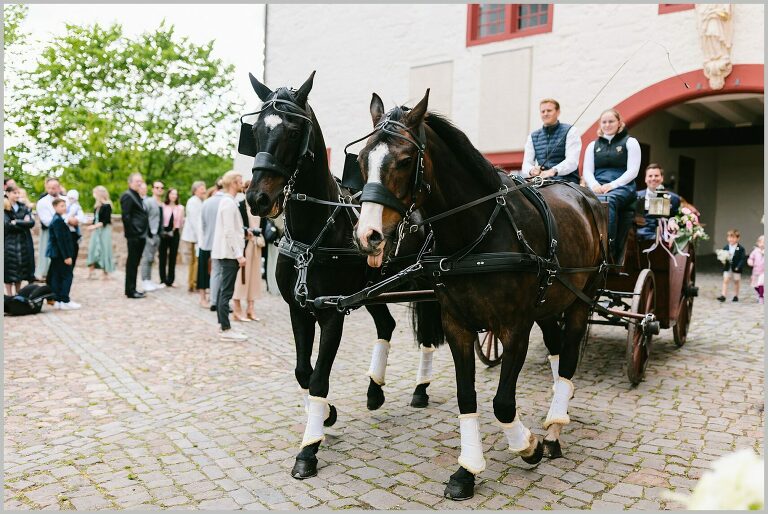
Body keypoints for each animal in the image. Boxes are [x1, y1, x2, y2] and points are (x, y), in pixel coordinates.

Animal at [243, 73, 448, 480]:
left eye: (294, 130)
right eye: (255, 130)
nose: (258, 198)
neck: (314, 233)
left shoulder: (332, 314)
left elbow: (319, 376)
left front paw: (309, 449)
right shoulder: (299, 309)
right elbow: (303, 372)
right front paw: (326, 414)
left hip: (425, 286)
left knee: (428, 336)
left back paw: (420, 388)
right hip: (372, 291)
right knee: (387, 325)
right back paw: (376, 390)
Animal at [356, 90, 612, 498]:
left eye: (406, 160)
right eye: (363, 159)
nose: (368, 236)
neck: (477, 237)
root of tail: (585, 197)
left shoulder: (515, 327)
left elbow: (503, 402)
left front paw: (528, 446)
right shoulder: (457, 326)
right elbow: (467, 397)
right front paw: (467, 470)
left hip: (578, 300)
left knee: (569, 356)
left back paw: (554, 428)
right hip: (549, 301)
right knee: (557, 350)